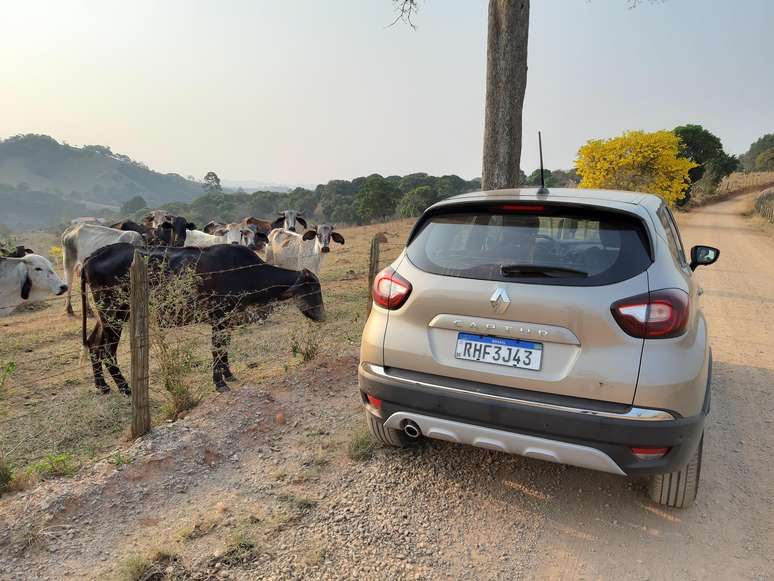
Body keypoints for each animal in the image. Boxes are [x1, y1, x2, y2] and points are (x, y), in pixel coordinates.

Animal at [83, 240, 326, 394]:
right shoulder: (219, 316)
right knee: (107, 351)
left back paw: (102, 386)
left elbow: (224, 347)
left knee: (94, 345)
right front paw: (219, 382)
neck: (245, 271)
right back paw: (125, 388)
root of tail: (93, 255)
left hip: (104, 318)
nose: (322, 316)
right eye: (313, 288)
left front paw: (228, 374)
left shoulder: (228, 318)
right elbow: (216, 349)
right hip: (114, 315)